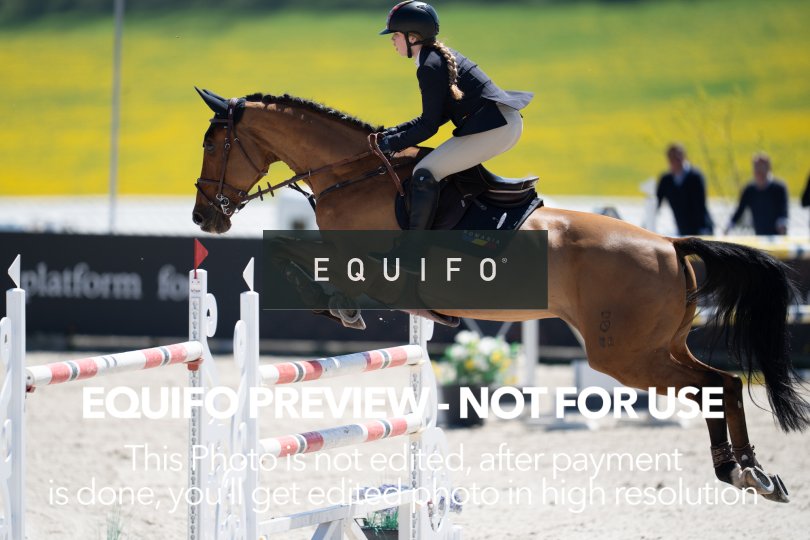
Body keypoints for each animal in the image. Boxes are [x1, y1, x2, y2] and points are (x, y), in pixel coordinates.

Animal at [191, 89, 808, 503]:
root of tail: (670, 244)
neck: (352, 173)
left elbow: (288, 251)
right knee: (726, 383)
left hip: (625, 355)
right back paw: (751, 473)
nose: (203, 218)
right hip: (659, 345)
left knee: (712, 386)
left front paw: (335, 306)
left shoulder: (364, 264)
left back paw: (740, 471)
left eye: (215, 143)